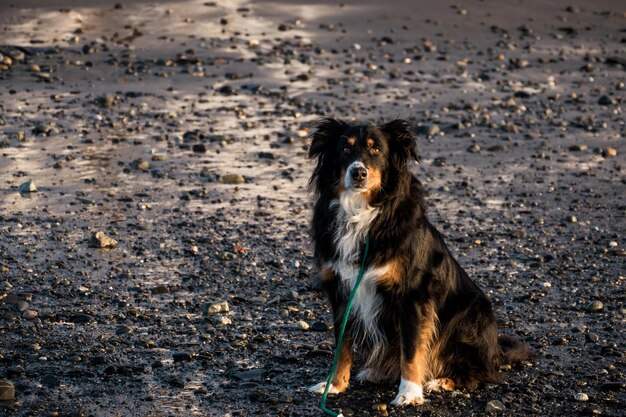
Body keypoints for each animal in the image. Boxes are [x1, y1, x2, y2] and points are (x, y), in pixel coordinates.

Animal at [308, 118, 532, 404]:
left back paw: (442, 381)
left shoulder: (413, 294)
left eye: (376, 150)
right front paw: (334, 385)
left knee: (481, 373)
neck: (362, 214)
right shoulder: (340, 291)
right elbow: (342, 345)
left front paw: (409, 393)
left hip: (469, 314)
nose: (358, 173)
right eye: (345, 150)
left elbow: (412, 349)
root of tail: (495, 350)